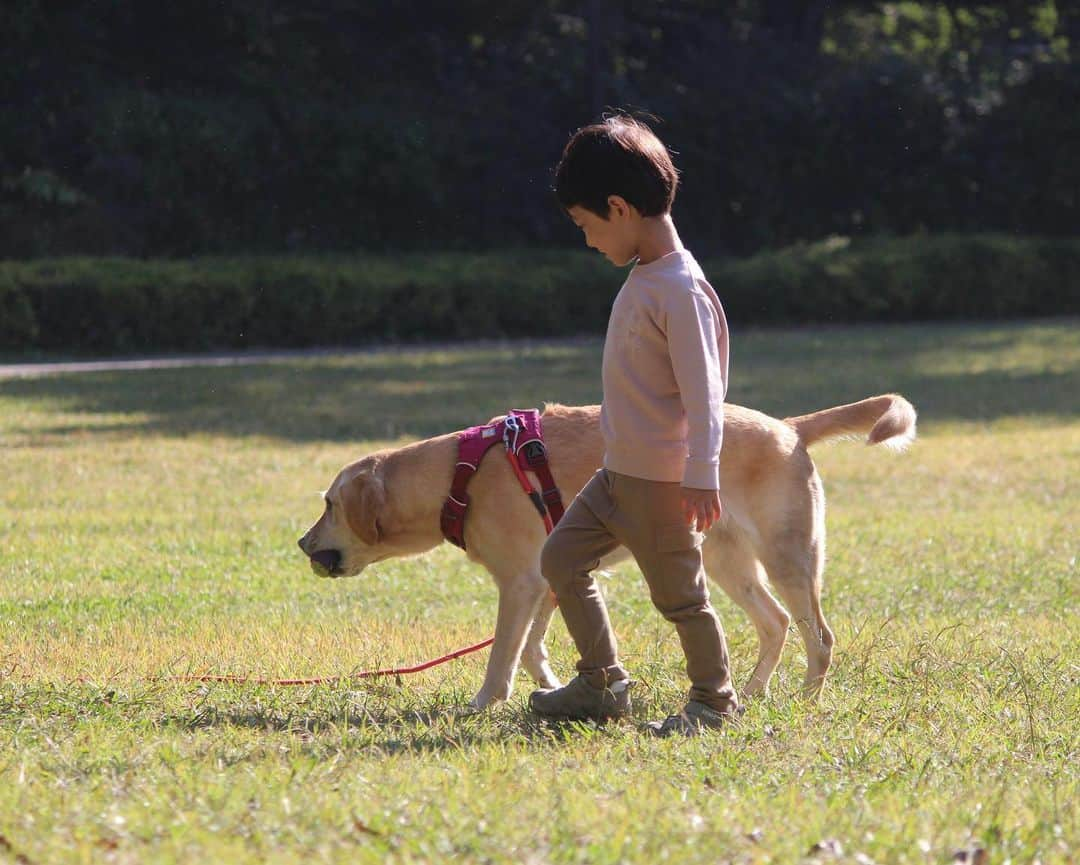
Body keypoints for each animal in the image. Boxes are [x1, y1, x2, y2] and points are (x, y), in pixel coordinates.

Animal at [300, 395, 915, 704]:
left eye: (328, 503)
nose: (301, 542)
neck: (460, 474)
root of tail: (789, 427)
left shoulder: (520, 582)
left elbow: (503, 654)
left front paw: (485, 703)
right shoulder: (548, 577)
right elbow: (532, 647)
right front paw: (553, 688)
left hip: (788, 556)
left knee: (820, 635)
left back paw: (805, 699)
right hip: (727, 562)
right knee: (777, 622)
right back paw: (755, 690)